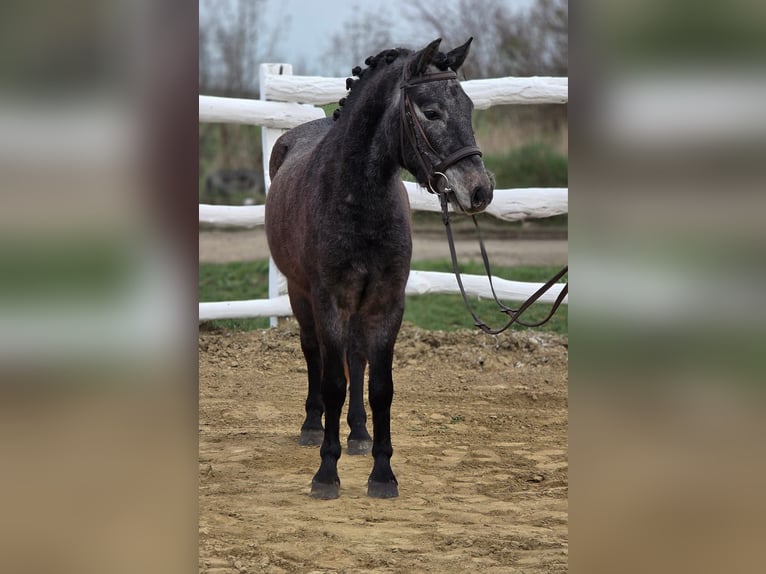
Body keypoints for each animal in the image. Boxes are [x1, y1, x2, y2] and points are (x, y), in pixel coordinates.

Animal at [264, 37, 494, 499]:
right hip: (300, 294)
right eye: (431, 111)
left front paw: (382, 472)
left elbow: (380, 387)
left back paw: (357, 433)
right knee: (314, 353)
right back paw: (312, 426)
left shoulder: (386, 302)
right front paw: (326, 473)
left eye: (468, 105)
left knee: (356, 357)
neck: (358, 200)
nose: (480, 190)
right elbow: (333, 382)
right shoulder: (329, 301)